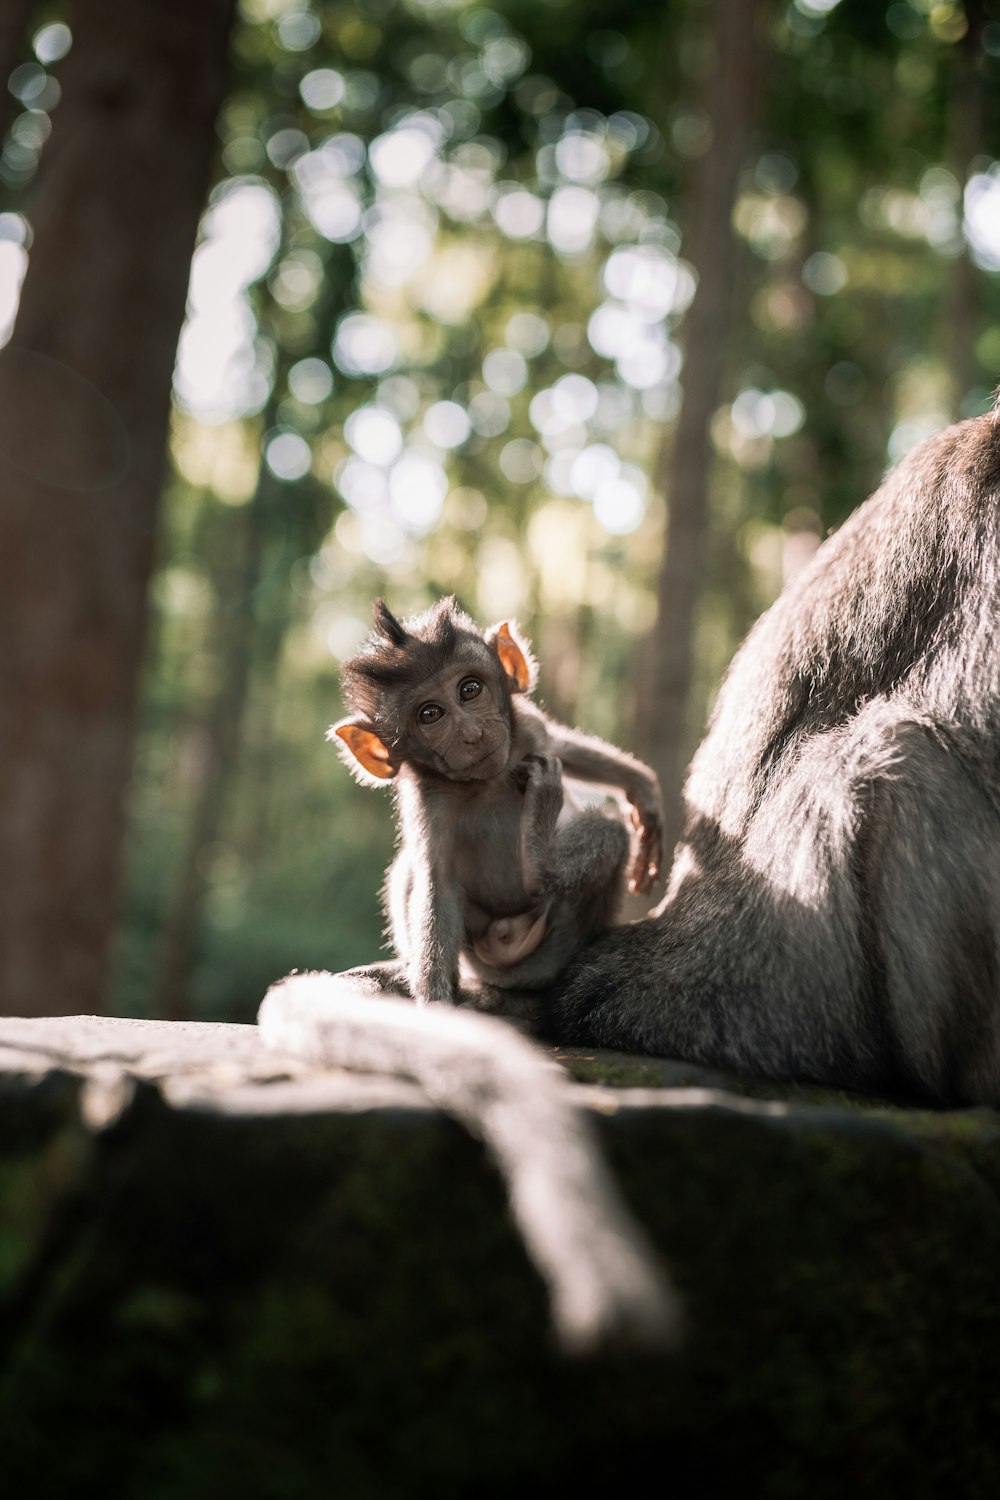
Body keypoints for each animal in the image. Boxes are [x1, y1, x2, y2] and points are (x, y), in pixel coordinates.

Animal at [334, 597, 665, 1008]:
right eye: (430, 714)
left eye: (470, 689)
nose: (472, 734)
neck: (485, 781)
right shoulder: (427, 798)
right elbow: (437, 884)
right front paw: (435, 1005)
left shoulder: (527, 732)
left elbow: (563, 748)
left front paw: (642, 789)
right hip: (481, 954)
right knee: (408, 868)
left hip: (565, 936)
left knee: (609, 831)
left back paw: (542, 864)